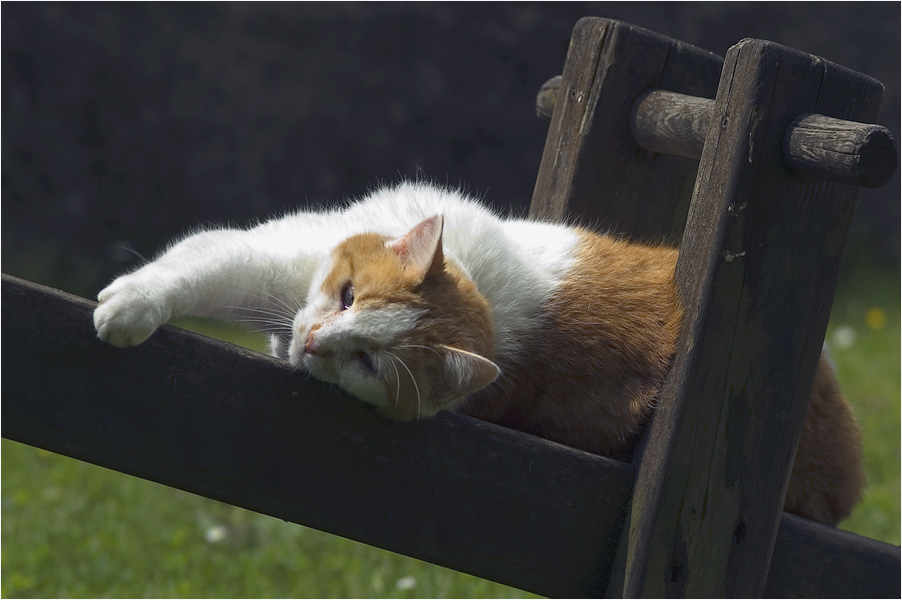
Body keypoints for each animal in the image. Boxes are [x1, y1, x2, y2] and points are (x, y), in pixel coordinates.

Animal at [95, 182, 864, 524]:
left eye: (368, 364)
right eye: (346, 295)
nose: (314, 341)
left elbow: (196, 263)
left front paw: (127, 312)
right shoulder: (283, 268)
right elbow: (203, 266)